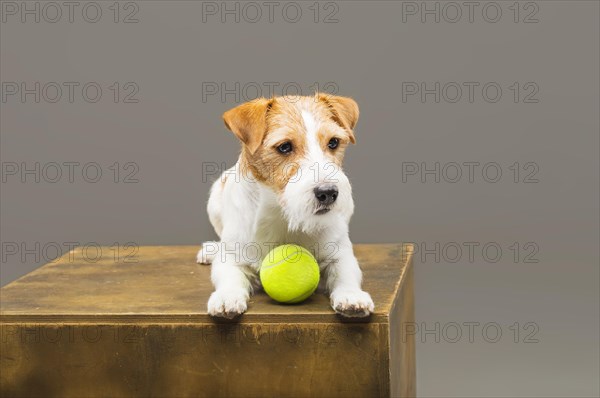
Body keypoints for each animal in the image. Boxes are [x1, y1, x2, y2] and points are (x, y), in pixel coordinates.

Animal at [199, 92, 372, 318]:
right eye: (284, 147)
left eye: (333, 142)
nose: (328, 193)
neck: (283, 215)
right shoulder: (231, 257)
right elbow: (229, 275)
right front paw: (227, 296)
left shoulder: (340, 253)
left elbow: (345, 272)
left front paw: (351, 295)